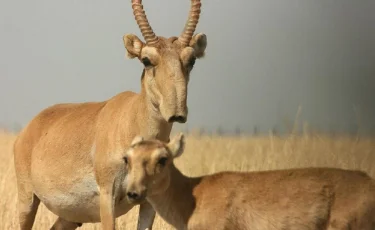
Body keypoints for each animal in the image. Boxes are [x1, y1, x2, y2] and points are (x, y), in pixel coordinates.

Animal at [13, 0, 209, 229]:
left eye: (191, 60)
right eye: (146, 60)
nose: (176, 112)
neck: (132, 118)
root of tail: (29, 129)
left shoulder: (149, 202)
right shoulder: (108, 197)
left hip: (70, 217)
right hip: (27, 201)